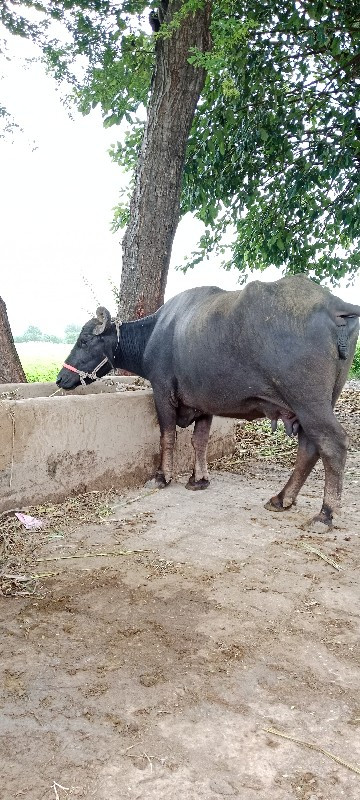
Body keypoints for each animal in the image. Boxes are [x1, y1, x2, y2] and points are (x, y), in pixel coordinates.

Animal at [56, 278, 360, 528]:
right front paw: (198, 479)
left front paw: (162, 476)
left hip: (309, 403)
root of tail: (335, 305)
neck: (155, 333)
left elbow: (167, 435)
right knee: (309, 447)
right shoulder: (204, 404)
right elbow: (199, 441)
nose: (60, 378)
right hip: (316, 405)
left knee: (332, 445)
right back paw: (282, 498)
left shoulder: (162, 392)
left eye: (84, 340)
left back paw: (325, 514)